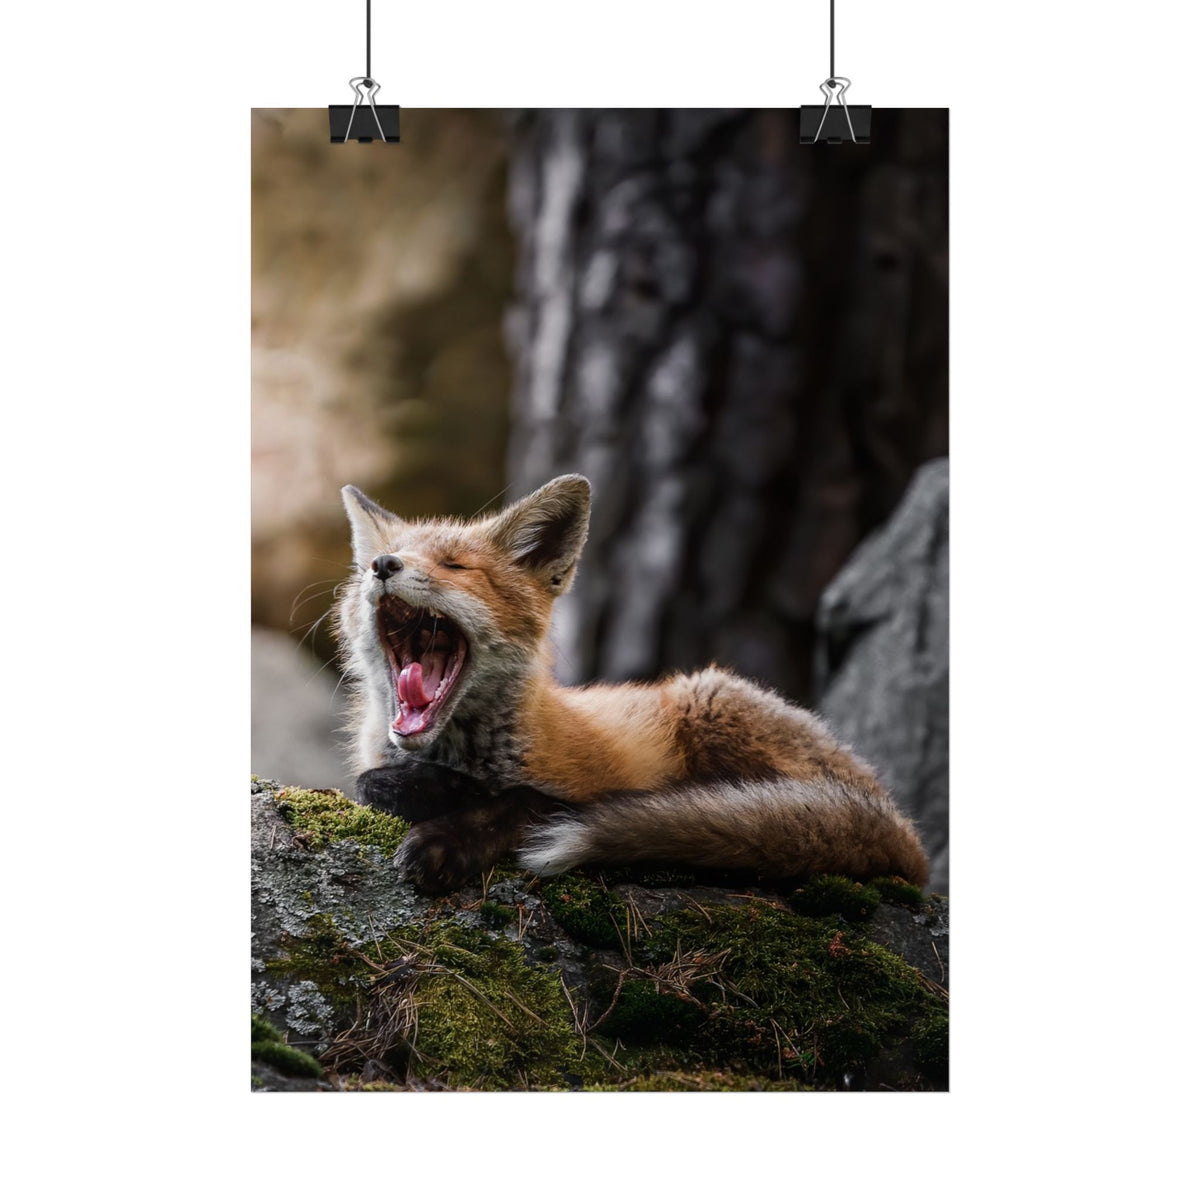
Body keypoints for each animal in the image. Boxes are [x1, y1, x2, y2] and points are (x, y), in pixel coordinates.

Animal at [336, 474, 929, 895]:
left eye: (455, 566)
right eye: (368, 567)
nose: (383, 565)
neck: (458, 755)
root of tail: (903, 827)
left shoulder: (584, 786)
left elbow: (526, 801)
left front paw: (447, 835)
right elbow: (369, 783)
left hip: (709, 700)